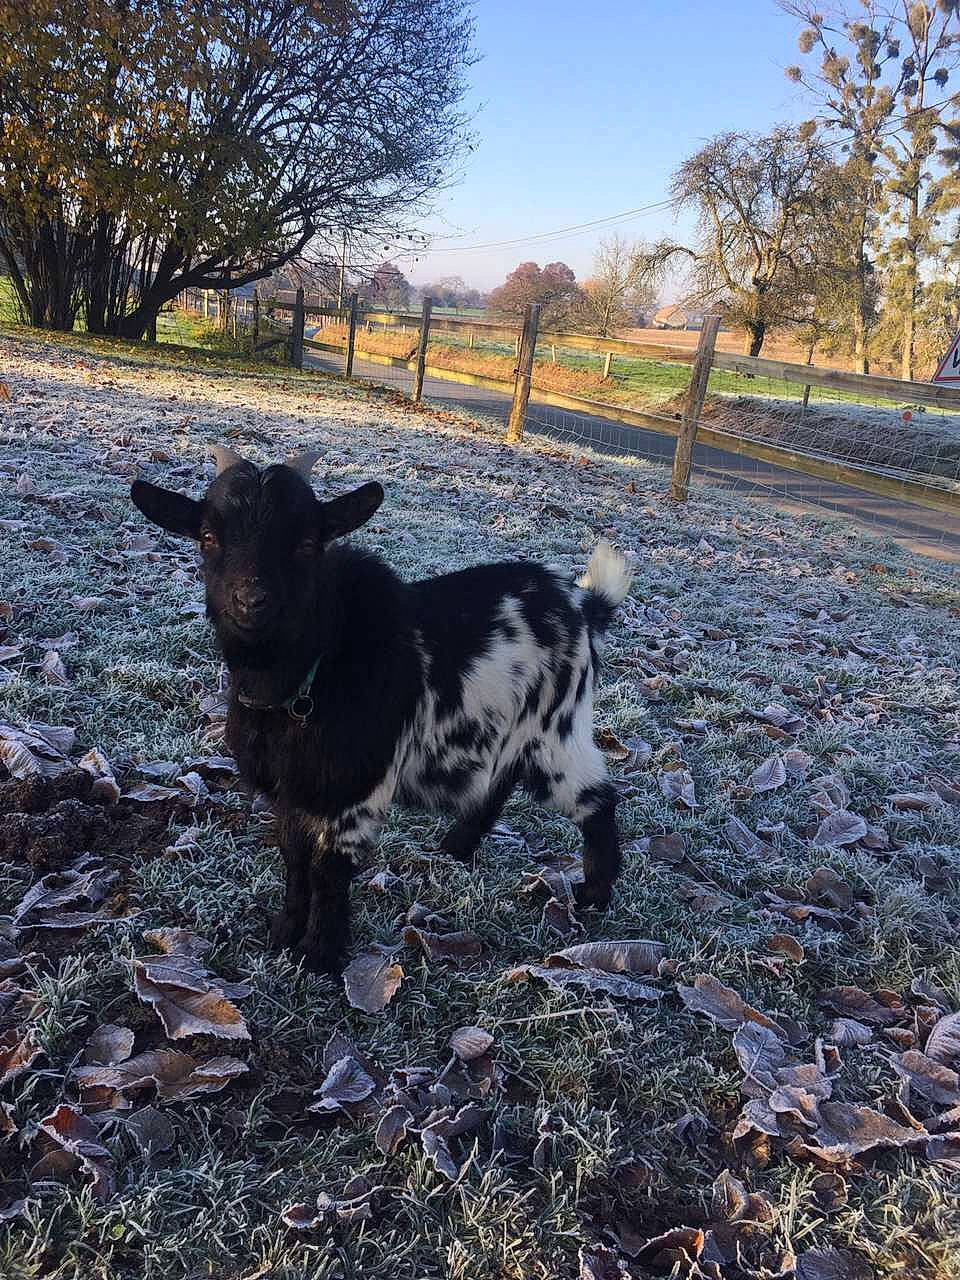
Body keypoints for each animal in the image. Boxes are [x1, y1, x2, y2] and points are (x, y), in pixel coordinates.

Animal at [130, 448, 633, 974]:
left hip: (558, 727)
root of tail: (584, 602)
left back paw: (594, 892)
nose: (251, 601)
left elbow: (329, 869)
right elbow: (294, 858)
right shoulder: (292, 789)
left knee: (597, 798)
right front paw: (286, 932)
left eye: (307, 544)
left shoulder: (356, 788)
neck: (308, 674)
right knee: (502, 778)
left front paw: (320, 956)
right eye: (208, 537)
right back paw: (457, 847)